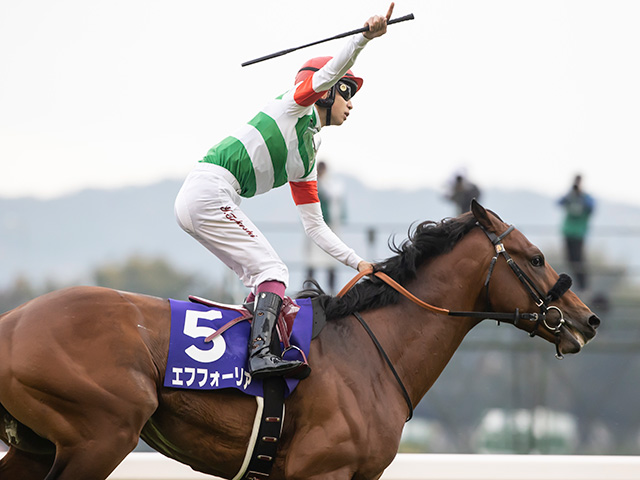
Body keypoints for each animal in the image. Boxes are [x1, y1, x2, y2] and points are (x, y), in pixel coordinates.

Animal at [0, 202, 600, 480]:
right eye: (537, 258)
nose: (587, 319)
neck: (372, 353)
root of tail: (14, 321)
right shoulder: (322, 469)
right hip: (101, 435)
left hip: (38, 444)